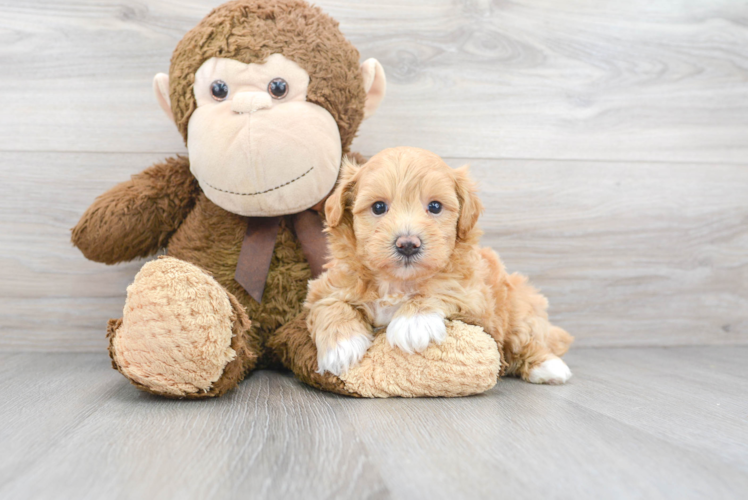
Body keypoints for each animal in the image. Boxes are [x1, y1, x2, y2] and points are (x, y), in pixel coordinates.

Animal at [304, 146, 572, 384]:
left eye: (434, 206)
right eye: (378, 207)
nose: (408, 244)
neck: (396, 282)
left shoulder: (476, 299)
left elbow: (441, 288)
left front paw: (414, 322)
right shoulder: (326, 287)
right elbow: (330, 304)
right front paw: (341, 347)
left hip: (519, 306)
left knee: (526, 339)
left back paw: (548, 367)